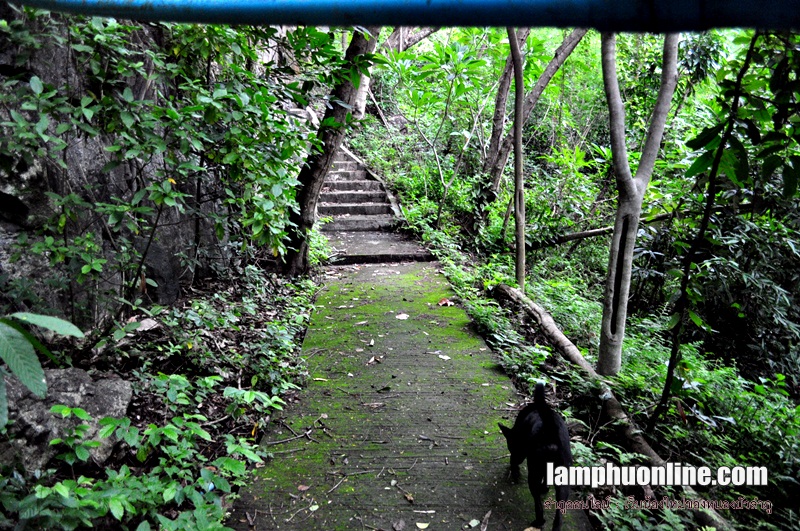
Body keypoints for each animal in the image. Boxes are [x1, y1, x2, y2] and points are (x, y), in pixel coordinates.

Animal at [496, 382, 572, 531]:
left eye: (510, 445)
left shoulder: (519, 451)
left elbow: (514, 459)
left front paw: (514, 471)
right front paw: (545, 488)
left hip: (533, 473)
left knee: (538, 504)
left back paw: (538, 521)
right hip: (562, 478)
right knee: (559, 515)